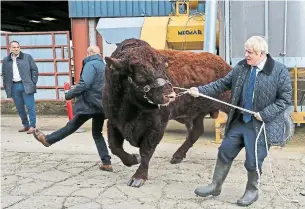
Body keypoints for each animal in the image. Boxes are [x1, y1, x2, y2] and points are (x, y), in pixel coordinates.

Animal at [102, 38, 230, 188]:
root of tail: (223, 63)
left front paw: (138, 177)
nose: (170, 95)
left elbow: (146, 150)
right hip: (197, 113)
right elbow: (114, 147)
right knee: (196, 131)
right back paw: (177, 156)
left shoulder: (157, 126)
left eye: (165, 69)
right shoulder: (113, 121)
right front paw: (133, 159)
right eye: (140, 74)